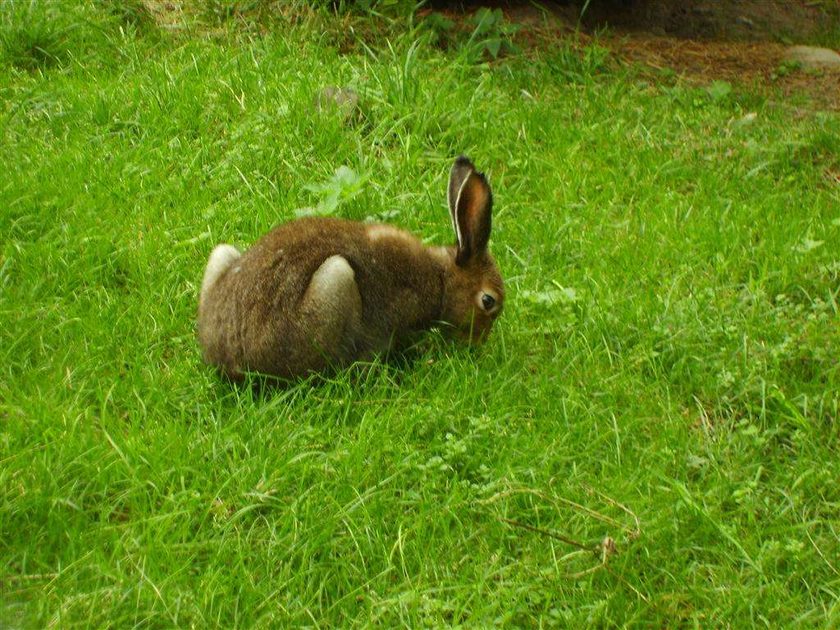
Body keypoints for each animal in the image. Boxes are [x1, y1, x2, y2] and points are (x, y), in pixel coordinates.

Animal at [197, 156, 504, 380]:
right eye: (488, 301)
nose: (478, 343)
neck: (441, 280)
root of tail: (228, 357)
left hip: (221, 255)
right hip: (336, 279)